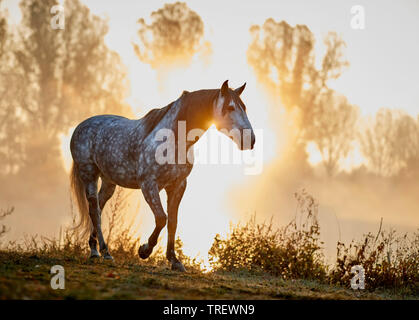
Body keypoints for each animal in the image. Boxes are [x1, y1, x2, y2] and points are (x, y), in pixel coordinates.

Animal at [70, 79, 254, 270]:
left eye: (244, 107)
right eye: (230, 107)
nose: (251, 140)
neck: (173, 139)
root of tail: (81, 126)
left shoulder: (178, 185)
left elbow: (172, 221)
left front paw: (174, 260)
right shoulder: (149, 184)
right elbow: (161, 218)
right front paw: (144, 250)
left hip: (108, 181)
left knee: (99, 206)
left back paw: (95, 249)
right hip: (89, 174)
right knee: (95, 211)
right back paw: (104, 252)